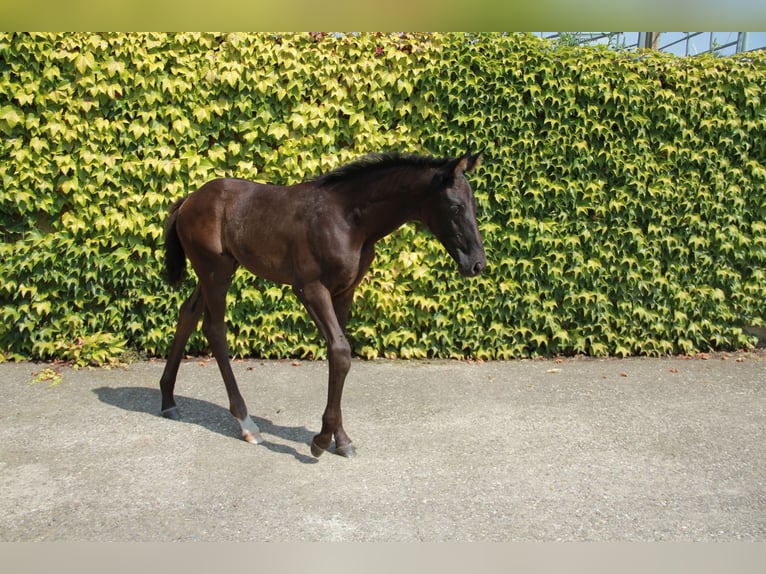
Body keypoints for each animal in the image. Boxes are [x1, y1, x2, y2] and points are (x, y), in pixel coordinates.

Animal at [159, 151, 487, 458]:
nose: (477, 264)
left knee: (187, 315)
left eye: (474, 205)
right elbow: (340, 351)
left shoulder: (344, 292)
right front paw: (321, 440)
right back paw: (247, 423)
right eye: (455, 206)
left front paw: (340, 439)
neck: (348, 219)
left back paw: (168, 401)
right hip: (216, 272)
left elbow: (338, 355)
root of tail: (188, 200)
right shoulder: (310, 289)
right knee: (215, 330)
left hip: (213, 272)